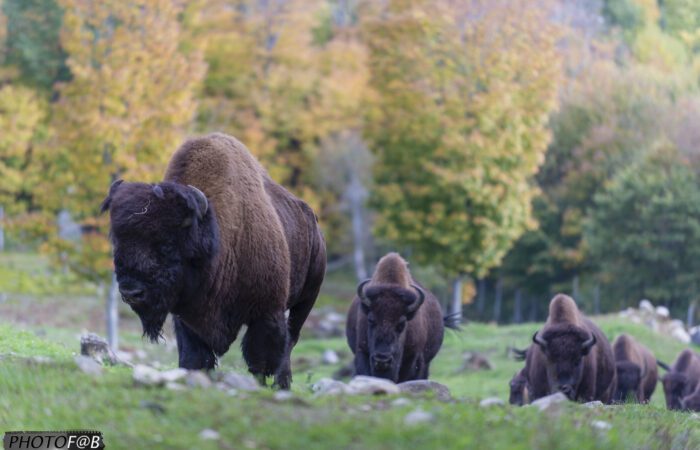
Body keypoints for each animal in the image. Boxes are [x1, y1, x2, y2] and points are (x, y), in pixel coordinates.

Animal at [101, 133, 326, 389]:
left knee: (290, 340)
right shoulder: (188, 319)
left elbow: (260, 360)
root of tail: (313, 221)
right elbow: (196, 357)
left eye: (167, 245)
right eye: (118, 242)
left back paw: (283, 383)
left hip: (306, 299)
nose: (131, 292)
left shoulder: (267, 313)